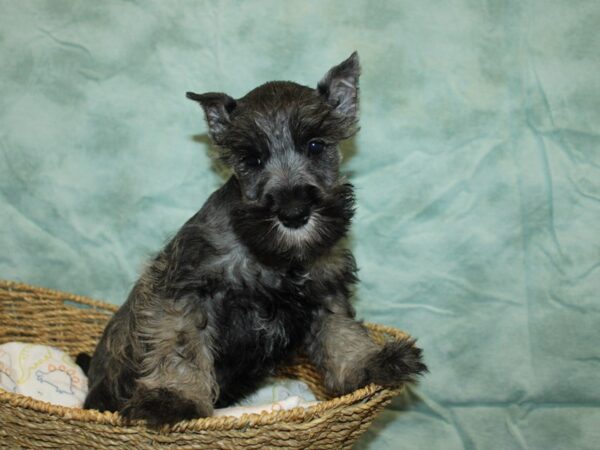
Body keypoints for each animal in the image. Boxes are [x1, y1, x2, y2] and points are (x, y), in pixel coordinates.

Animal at [83, 52, 426, 426]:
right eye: (252, 159)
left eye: (316, 145)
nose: (294, 212)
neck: (274, 259)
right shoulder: (183, 289)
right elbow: (181, 345)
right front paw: (172, 398)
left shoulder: (326, 288)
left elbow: (342, 333)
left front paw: (368, 364)